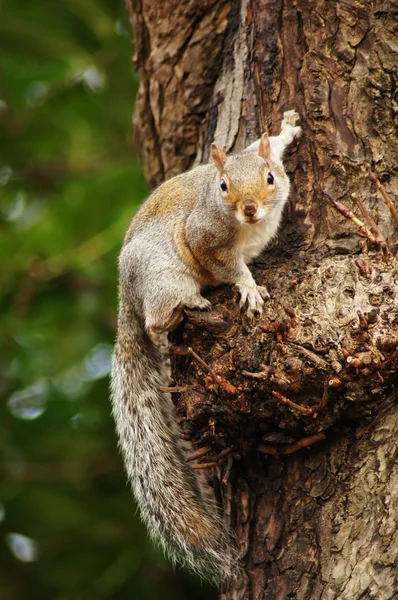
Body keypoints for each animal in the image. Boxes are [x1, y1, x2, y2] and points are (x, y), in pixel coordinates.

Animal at [110, 109, 300, 580]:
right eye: (223, 186)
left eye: (271, 178)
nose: (249, 209)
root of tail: (127, 295)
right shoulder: (205, 237)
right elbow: (226, 266)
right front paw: (248, 287)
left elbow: (265, 144)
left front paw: (286, 130)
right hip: (165, 278)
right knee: (156, 320)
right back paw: (184, 308)